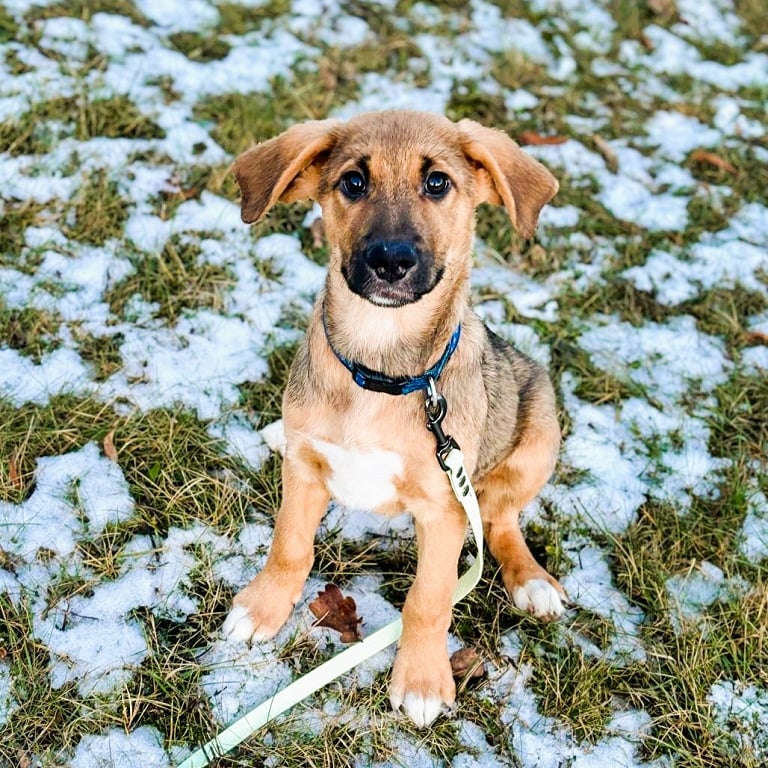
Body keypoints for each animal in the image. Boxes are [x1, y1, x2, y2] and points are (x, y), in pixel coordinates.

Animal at [222, 108, 564, 728]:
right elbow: (289, 546)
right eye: (354, 182)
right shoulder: (305, 476)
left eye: (438, 183)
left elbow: (428, 600)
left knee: (502, 520)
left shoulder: (445, 510)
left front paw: (423, 680)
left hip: (538, 438)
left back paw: (533, 582)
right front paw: (263, 608)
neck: (380, 368)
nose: (390, 260)